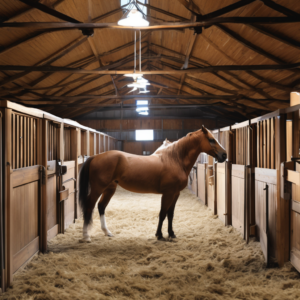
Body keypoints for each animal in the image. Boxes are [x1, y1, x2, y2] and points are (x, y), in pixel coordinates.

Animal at [78, 125, 226, 243]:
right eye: (211, 139)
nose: (224, 155)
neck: (175, 159)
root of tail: (95, 157)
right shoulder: (167, 194)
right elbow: (162, 213)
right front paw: (159, 235)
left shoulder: (175, 194)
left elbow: (170, 214)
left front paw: (171, 234)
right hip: (98, 189)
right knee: (89, 207)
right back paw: (86, 236)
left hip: (109, 189)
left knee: (101, 206)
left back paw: (107, 232)